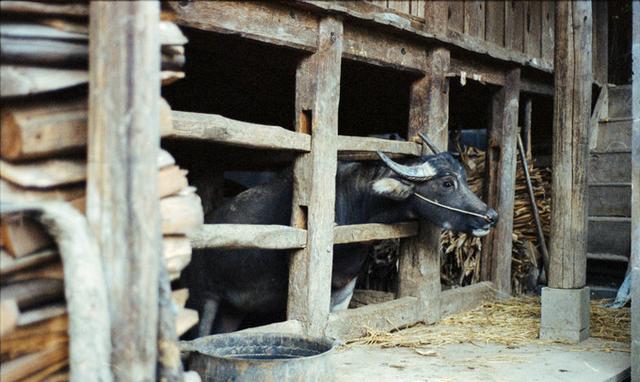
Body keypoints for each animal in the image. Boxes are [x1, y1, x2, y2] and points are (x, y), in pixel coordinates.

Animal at [182, 134, 498, 334]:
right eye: (447, 183)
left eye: (466, 179)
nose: (490, 216)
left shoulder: (345, 287)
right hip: (203, 298)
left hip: (232, 308)